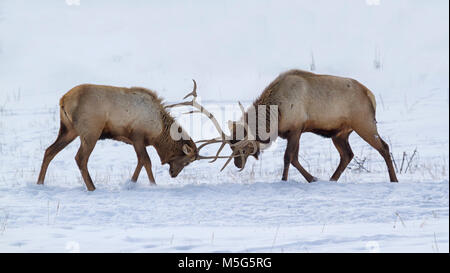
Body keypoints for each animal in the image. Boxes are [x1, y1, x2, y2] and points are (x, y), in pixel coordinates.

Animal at [37, 81, 234, 190]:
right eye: (187, 161)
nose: (173, 174)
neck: (158, 132)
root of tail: (63, 100)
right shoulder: (138, 135)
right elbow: (146, 161)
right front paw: (153, 185)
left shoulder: (134, 140)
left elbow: (140, 162)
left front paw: (131, 182)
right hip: (90, 131)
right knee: (80, 158)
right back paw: (92, 187)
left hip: (68, 129)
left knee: (49, 151)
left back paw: (40, 183)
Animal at [206, 69, 400, 182]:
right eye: (231, 148)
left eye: (245, 147)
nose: (238, 163)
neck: (277, 114)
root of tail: (370, 95)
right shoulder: (296, 132)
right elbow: (295, 159)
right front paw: (312, 179)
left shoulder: (296, 128)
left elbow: (288, 157)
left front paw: (284, 180)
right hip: (340, 133)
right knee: (347, 155)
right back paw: (332, 179)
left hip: (364, 123)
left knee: (384, 147)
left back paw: (394, 179)